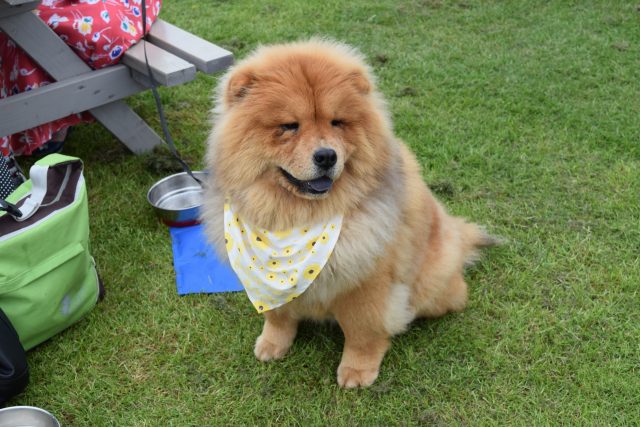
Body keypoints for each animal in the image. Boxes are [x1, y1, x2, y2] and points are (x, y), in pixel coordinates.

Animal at [202, 39, 498, 388]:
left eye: (337, 122)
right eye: (288, 126)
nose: (326, 156)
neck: (297, 221)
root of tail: (455, 233)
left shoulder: (367, 284)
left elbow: (362, 332)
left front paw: (358, 371)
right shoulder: (269, 288)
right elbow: (278, 316)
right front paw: (272, 344)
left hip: (431, 282)